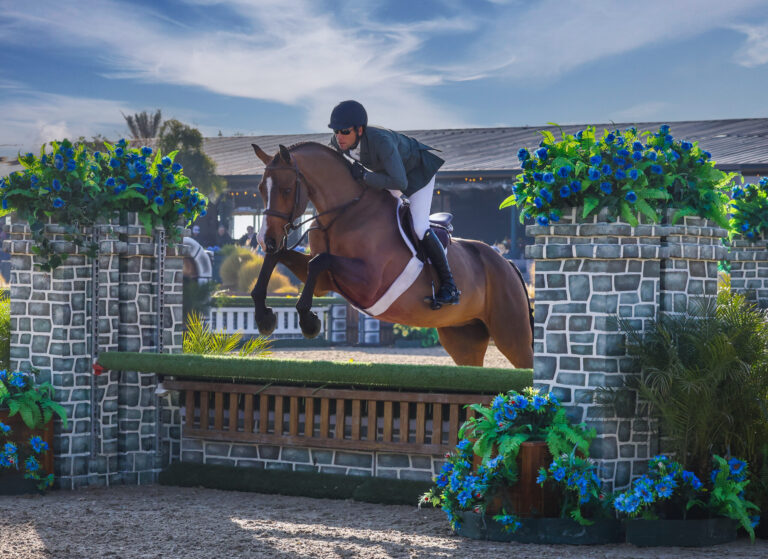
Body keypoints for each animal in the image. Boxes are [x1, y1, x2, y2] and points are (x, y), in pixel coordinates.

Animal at [249, 141, 532, 368]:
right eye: (261, 188)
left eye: (286, 189)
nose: (266, 240)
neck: (344, 214)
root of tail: (506, 262)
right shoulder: (324, 282)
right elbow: (283, 258)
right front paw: (264, 317)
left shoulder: (369, 284)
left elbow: (320, 261)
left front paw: (308, 321)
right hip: (463, 337)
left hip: (512, 334)